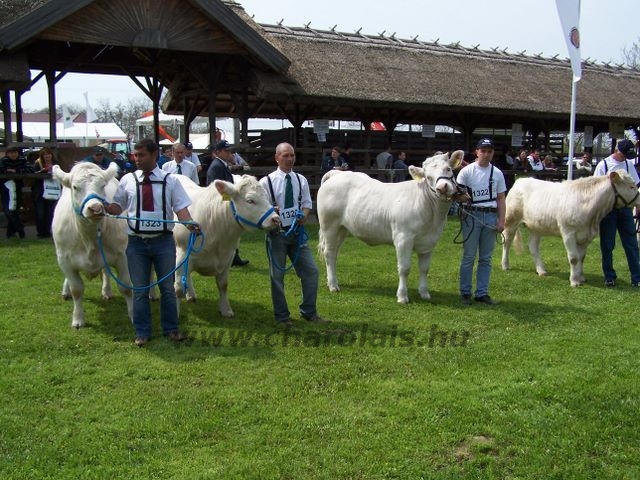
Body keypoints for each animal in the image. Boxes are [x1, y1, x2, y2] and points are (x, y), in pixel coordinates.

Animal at [52, 163, 132, 328]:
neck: (89, 238)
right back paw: (66, 291)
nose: (95, 208)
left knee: (106, 272)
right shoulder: (64, 259)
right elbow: (76, 289)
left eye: (103, 185)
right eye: (75, 187)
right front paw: (77, 319)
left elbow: (126, 287)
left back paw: (107, 291)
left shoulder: (122, 255)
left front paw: (134, 315)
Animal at [172, 174, 280, 316]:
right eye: (250, 201)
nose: (276, 219)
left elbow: (223, 285)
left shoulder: (227, 258)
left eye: (266, 197)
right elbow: (178, 288)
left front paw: (226, 309)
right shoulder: (183, 255)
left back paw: (191, 294)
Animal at [316, 151, 462, 304]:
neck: (433, 218)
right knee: (329, 252)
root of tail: (337, 173)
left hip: (342, 229)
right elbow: (404, 268)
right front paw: (402, 296)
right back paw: (333, 285)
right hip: (329, 225)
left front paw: (424, 293)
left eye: (448, 169)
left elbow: (424, 269)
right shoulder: (403, 238)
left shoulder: (430, 241)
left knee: (334, 254)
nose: (442, 187)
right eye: (428, 177)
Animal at [500, 171, 640, 286]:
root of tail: (520, 180)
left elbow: (581, 257)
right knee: (507, 241)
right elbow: (573, 258)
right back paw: (505, 265)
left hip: (536, 226)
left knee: (533, 246)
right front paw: (574, 281)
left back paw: (541, 270)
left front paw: (581, 278)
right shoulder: (568, 233)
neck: (592, 216)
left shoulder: (586, 236)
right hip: (511, 219)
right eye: (631, 187)